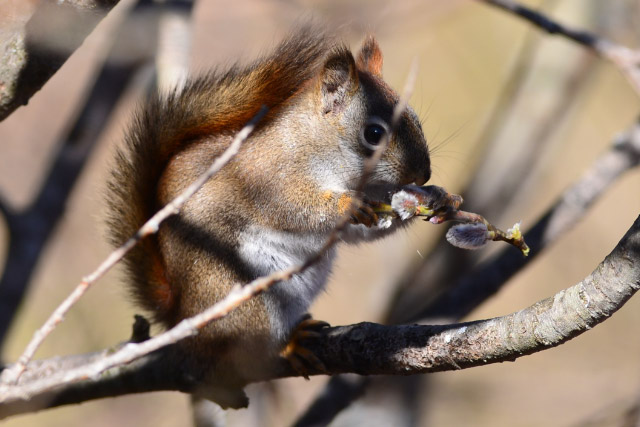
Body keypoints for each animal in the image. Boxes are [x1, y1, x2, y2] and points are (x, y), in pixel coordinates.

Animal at [106, 26, 430, 408]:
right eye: (374, 134)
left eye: (416, 119)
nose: (423, 175)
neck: (315, 145)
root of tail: (179, 317)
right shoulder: (265, 180)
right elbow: (293, 208)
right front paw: (345, 205)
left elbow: (358, 232)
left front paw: (427, 203)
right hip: (244, 295)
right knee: (251, 350)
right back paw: (287, 346)